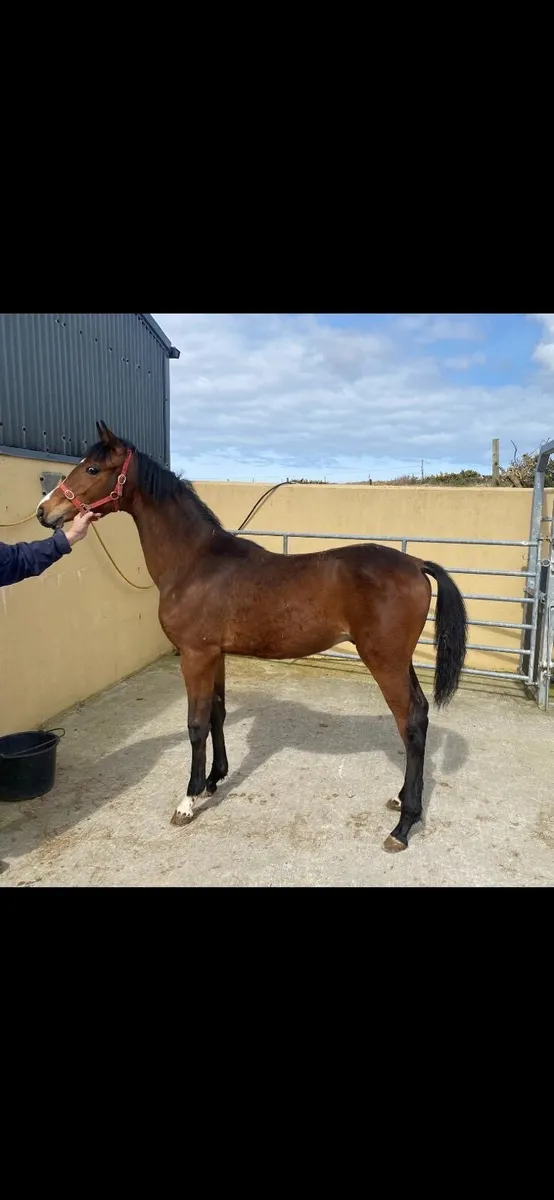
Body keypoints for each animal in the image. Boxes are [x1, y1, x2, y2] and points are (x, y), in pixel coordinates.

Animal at [37, 421, 467, 852]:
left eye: (92, 469)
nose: (45, 511)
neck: (196, 563)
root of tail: (415, 563)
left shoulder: (194, 655)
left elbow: (195, 724)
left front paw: (188, 800)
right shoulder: (216, 655)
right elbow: (217, 713)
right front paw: (213, 780)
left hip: (385, 661)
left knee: (409, 723)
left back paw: (403, 826)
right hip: (399, 661)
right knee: (421, 715)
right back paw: (400, 800)